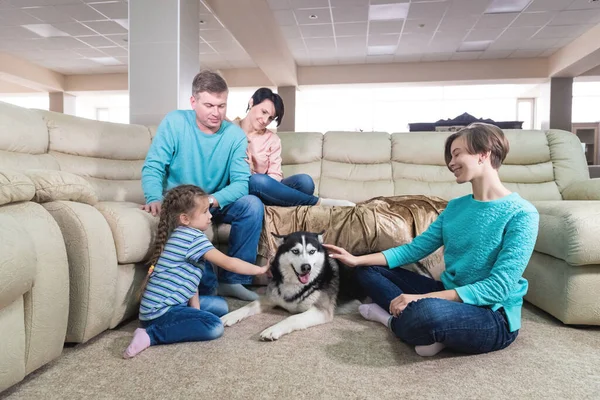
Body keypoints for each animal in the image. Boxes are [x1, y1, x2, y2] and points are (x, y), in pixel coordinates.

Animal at [219, 231, 360, 340]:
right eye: (295, 251)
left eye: (312, 251)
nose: (306, 267)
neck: (296, 284)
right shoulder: (270, 298)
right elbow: (249, 306)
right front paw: (230, 316)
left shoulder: (321, 310)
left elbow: (293, 318)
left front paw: (273, 329)